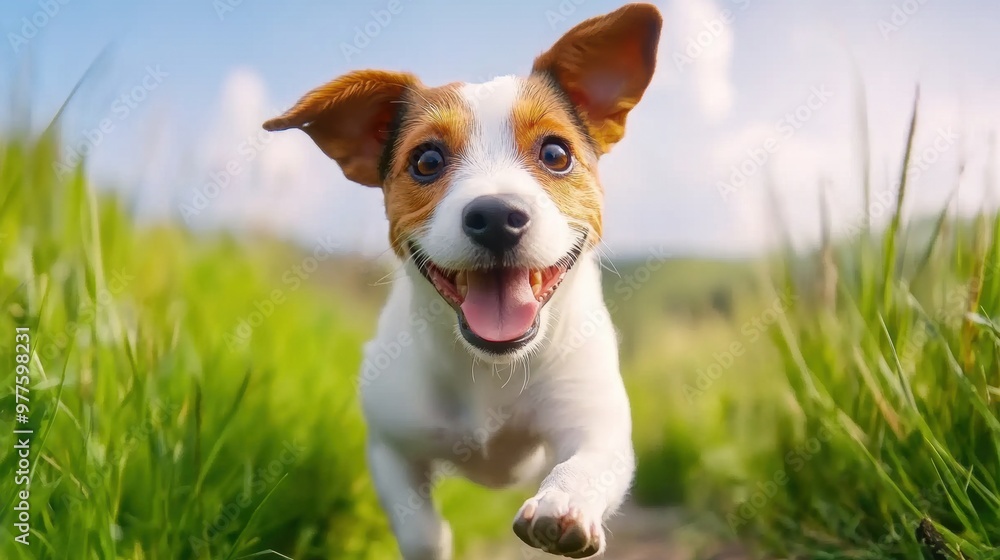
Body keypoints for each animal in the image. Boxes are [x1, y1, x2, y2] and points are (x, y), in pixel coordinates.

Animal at [262, 5, 660, 560]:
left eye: (556, 154)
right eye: (426, 160)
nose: (495, 216)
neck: (491, 369)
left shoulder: (596, 425)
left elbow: (586, 463)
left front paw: (563, 505)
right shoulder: (390, 447)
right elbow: (420, 529)